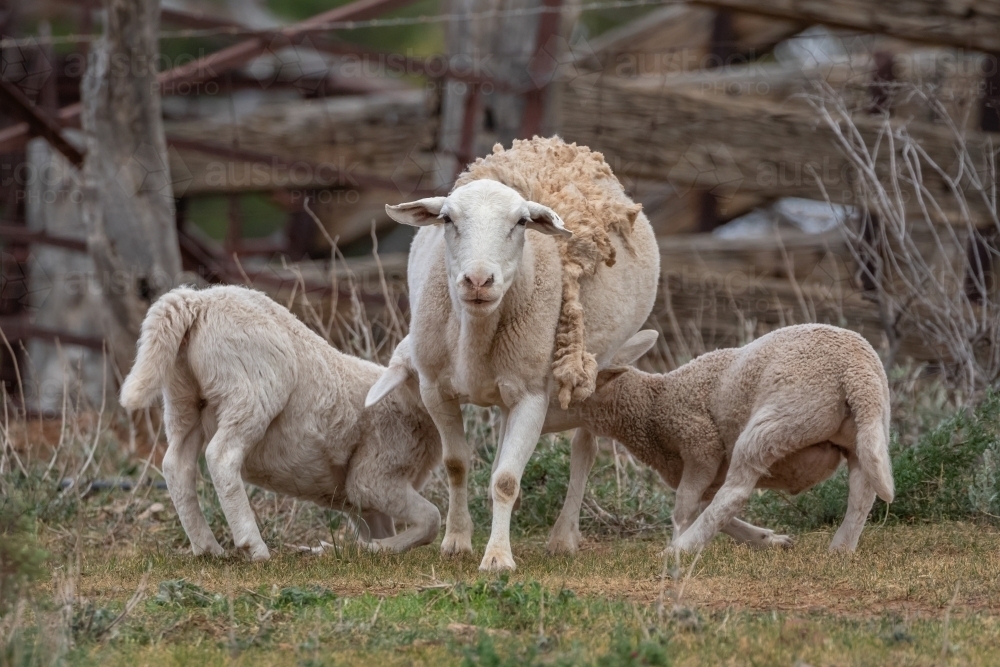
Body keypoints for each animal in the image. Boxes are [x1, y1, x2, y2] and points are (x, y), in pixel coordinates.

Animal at [119, 284, 440, 560]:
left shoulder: (360, 499)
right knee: (221, 456)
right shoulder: (372, 477)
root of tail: (199, 302)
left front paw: (373, 547)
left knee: (177, 465)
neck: (404, 406)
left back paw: (207, 547)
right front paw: (378, 548)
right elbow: (431, 519)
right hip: (252, 389)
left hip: (183, 398)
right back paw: (254, 546)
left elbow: (382, 525)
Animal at [368, 137, 664, 576]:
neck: (475, 336)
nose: (478, 280)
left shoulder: (531, 396)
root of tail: (559, 144)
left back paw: (563, 536)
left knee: (584, 450)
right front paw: (456, 541)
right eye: (447, 219)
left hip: (588, 371)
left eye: (521, 223)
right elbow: (457, 464)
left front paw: (497, 557)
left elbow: (506, 479)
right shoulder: (435, 389)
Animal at [548, 324, 900, 552]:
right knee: (863, 491)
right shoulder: (703, 469)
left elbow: (685, 505)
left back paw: (680, 550)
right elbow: (702, 502)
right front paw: (767, 539)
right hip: (866, 428)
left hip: (780, 418)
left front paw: (680, 539)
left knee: (736, 493)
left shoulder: (700, 443)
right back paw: (840, 549)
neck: (653, 405)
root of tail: (855, 370)